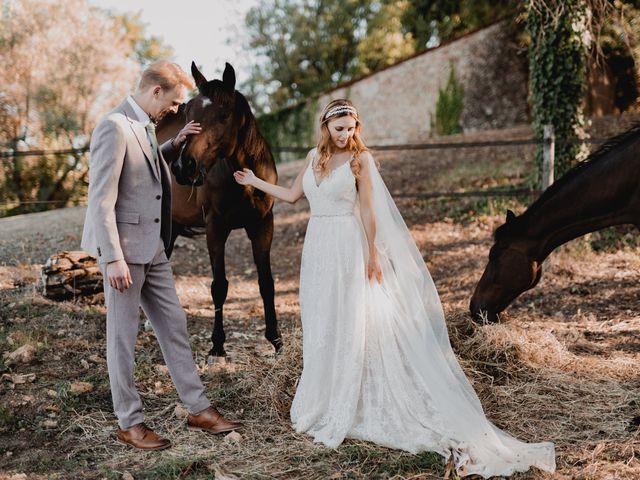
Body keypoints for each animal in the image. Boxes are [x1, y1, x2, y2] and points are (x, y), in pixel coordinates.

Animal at [156, 62, 282, 358]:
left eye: (224, 115)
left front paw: (275, 339)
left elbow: (266, 282)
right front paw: (217, 345)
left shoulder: (262, 225)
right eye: (188, 111)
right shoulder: (215, 228)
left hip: (173, 227)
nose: (183, 166)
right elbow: (219, 286)